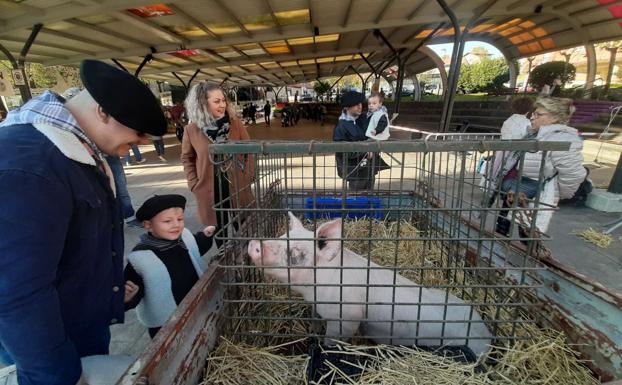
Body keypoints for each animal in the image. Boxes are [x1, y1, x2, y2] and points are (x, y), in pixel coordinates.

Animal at [246, 212, 494, 356]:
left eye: (297, 251)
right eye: (281, 237)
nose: (254, 243)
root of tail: (487, 336)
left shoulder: (346, 316)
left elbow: (333, 339)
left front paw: (326, 348)